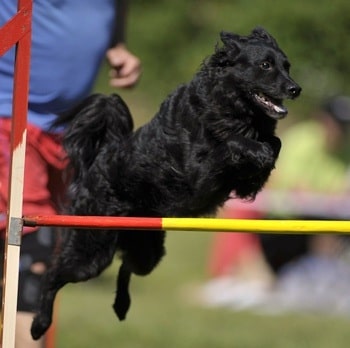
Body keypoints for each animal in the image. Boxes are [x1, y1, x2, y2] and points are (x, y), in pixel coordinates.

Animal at [30, 27, 300, 340]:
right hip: (91, 251)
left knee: (127, 265)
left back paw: (121, 304)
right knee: (52, 275)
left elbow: (275, 142)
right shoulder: (199, 175)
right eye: (265, 65)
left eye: (287, 66)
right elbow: (234, 143)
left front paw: (262, 162)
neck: (228, 105)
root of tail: (99, 161)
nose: (296, 89)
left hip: (147, 250)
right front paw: (257, 153)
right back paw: (39, 324)